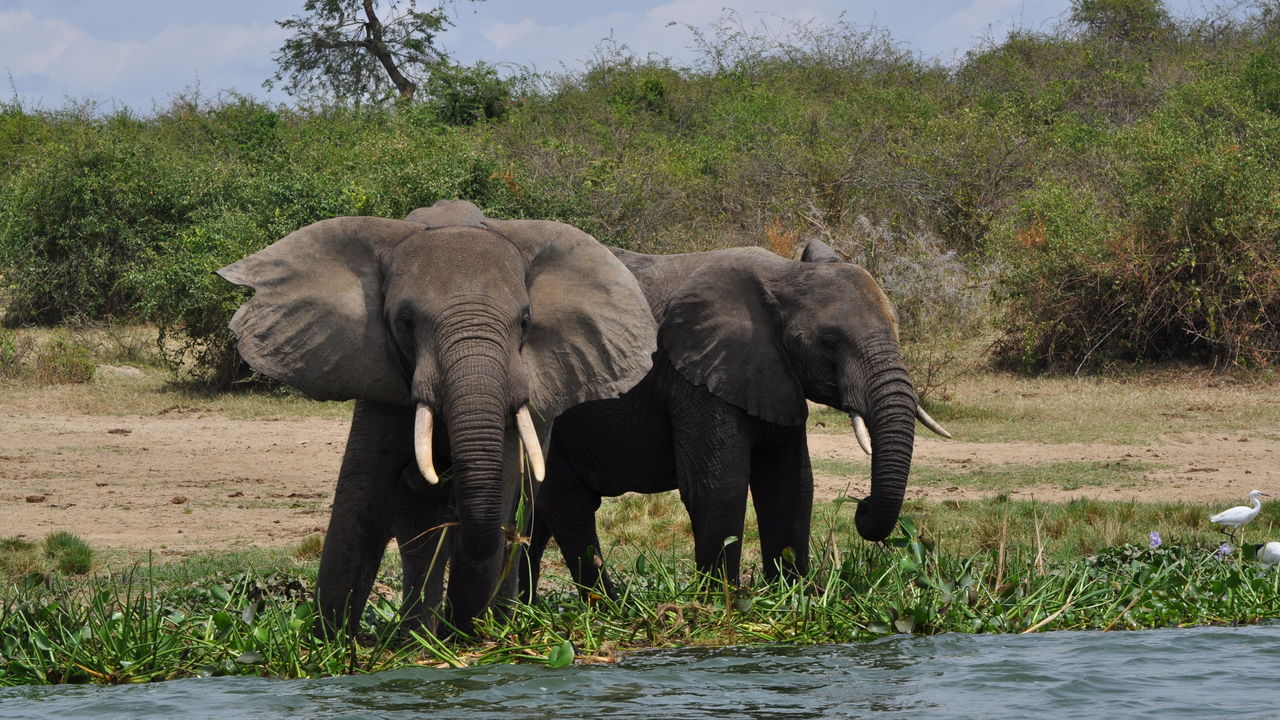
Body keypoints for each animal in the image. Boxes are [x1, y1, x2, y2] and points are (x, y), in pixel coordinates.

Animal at [216, 198, 655, 630]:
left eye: (525, 321)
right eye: (406, 322)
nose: (463, 629)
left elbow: (502, 484)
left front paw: (466, 636)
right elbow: (365, 491)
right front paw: (333, 640)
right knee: (419, 526)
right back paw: (420, 635)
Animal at [519, 238, 952, 597]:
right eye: (829, 342)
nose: (861, 505)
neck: (784, 276)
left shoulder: (773, 376)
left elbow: (790, 484)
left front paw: (793, 597)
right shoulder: (694, 376)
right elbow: (717, 486)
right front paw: (720, 603)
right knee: (567, 504)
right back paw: (608, 607)